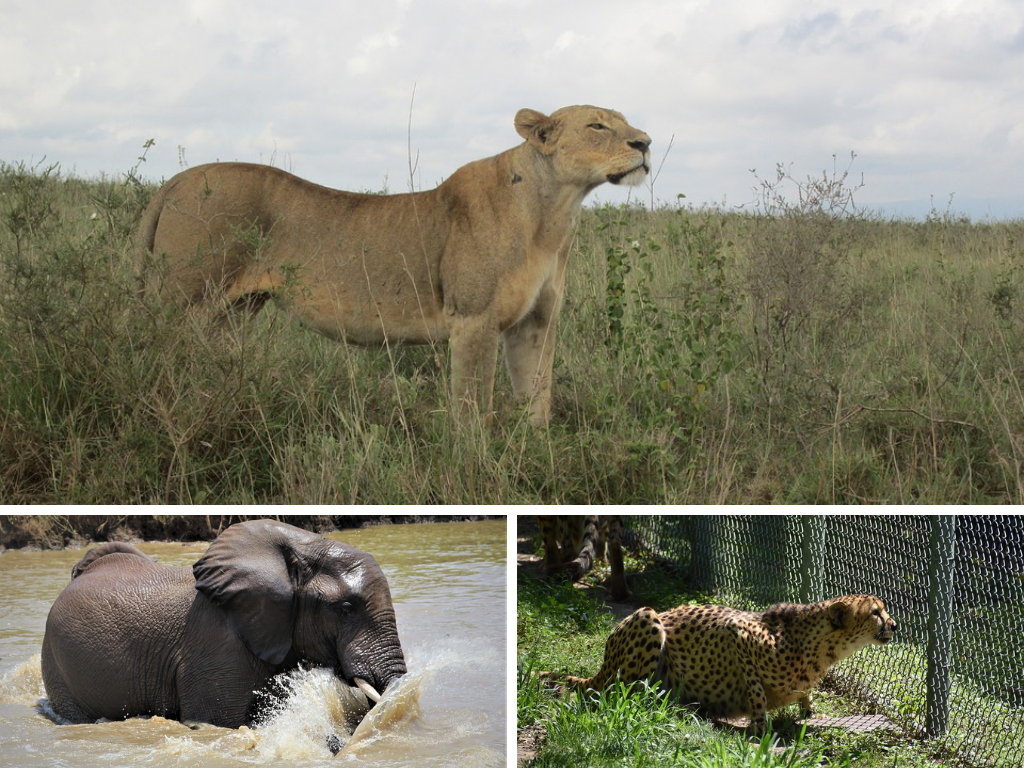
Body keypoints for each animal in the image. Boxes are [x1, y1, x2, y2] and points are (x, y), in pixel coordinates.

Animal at [536, 593, 897, 733]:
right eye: (875, 613)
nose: (895, 625)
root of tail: (603, 663)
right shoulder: (737, 632)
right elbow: (755, 688)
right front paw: (760, 723)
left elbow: (805, 695)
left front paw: (810, 711)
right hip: (648, 618)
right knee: (619, 694)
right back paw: (676, 706)